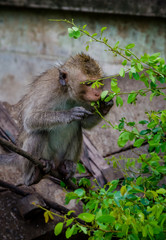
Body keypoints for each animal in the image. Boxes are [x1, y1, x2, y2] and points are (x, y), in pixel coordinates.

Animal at [0, 53, 113, 186]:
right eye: (88, 83)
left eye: (99, 82)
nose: (97, 93)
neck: (67, 92)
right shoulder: (49, 90)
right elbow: (30, 119)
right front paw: (69, 114)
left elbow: (85, 123)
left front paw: (105, 105)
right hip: (28, 158)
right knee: (39, 132)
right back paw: (31, 177)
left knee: (77, 129)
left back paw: (67, 166)